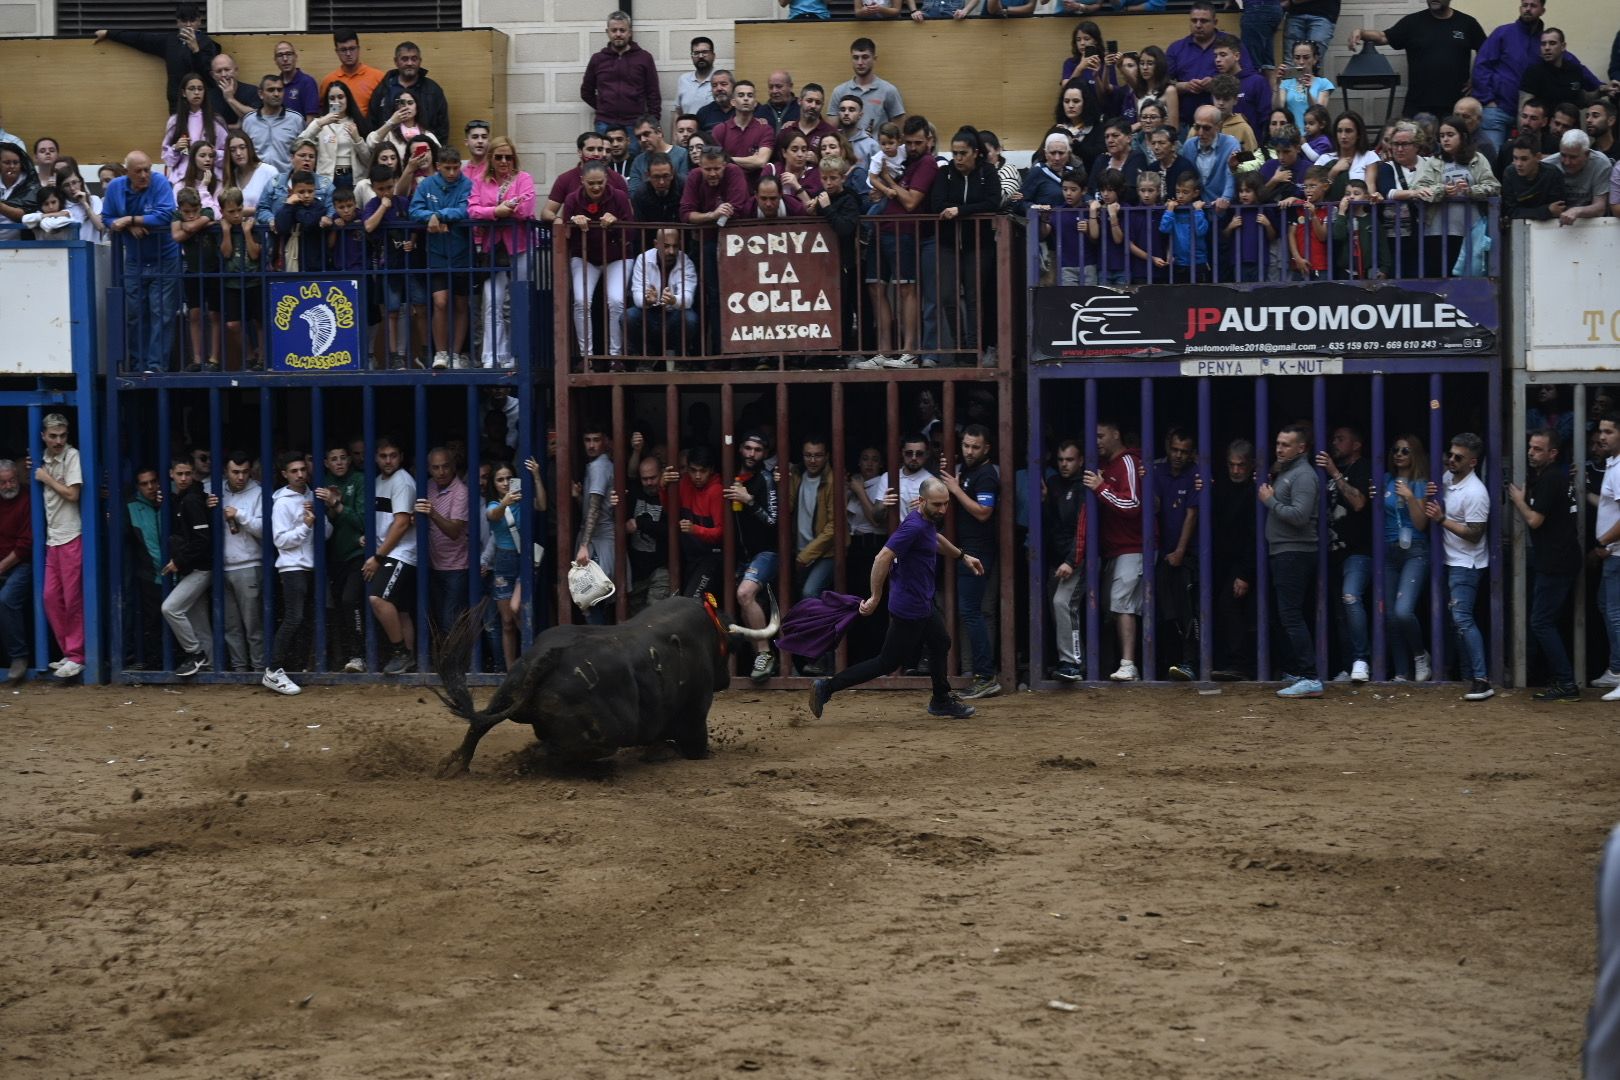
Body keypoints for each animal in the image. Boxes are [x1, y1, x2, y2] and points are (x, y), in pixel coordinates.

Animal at [434, 592, 780, 777]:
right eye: (730, 649)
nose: (725, 679)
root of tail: (546, 658)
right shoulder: (695, 723)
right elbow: (691, 746)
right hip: (604, 735)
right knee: (555, 752)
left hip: (507, 690)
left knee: (478, 725)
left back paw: (454, 766)